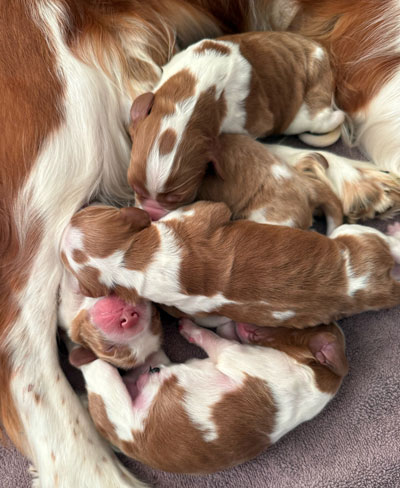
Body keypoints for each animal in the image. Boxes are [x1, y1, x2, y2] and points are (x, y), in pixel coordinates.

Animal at [68, 319, 347, 474]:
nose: (242, 320)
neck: (317, 375)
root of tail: (124, 444)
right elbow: (224, 333)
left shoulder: (233, 354)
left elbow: (210, 337)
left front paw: (191, 327)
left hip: (111, 393)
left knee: (93, 365)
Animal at [128, 32, 345, 217]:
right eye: (135, 188)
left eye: (177, 197)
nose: (152, 213)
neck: (189, 98)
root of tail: (322, 53)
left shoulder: (251, 124)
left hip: (308, 116)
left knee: (331, 116)